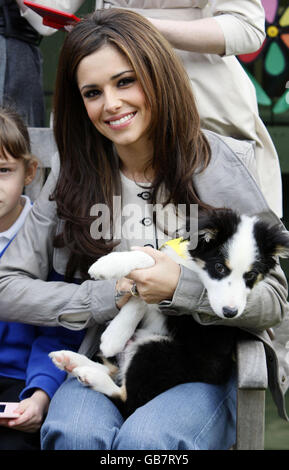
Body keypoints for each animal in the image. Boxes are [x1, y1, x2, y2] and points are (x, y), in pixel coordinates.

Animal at [50, 208, 288, 414]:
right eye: (220, 267)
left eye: (251, 275)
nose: (230, 313)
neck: (193, 268)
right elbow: (144, 275)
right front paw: (115, 333)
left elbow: (149, 270)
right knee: (115, 373)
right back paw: (70, 360)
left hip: (157, 351)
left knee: (127, 400)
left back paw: (87, 374)